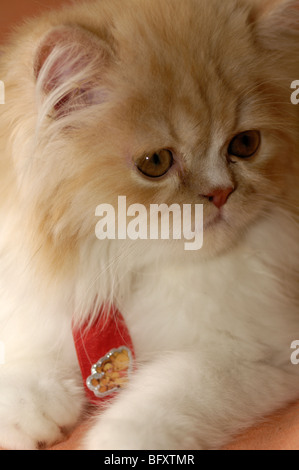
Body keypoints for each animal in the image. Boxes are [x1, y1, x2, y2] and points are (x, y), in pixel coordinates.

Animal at [0, 0, 299, 452]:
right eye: (155, 163)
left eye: (246, 144)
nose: (221, 193)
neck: (126, 268)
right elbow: (28, 364)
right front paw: (22, 417)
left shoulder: (254, 357)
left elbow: (160, 402)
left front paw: (114, 440)